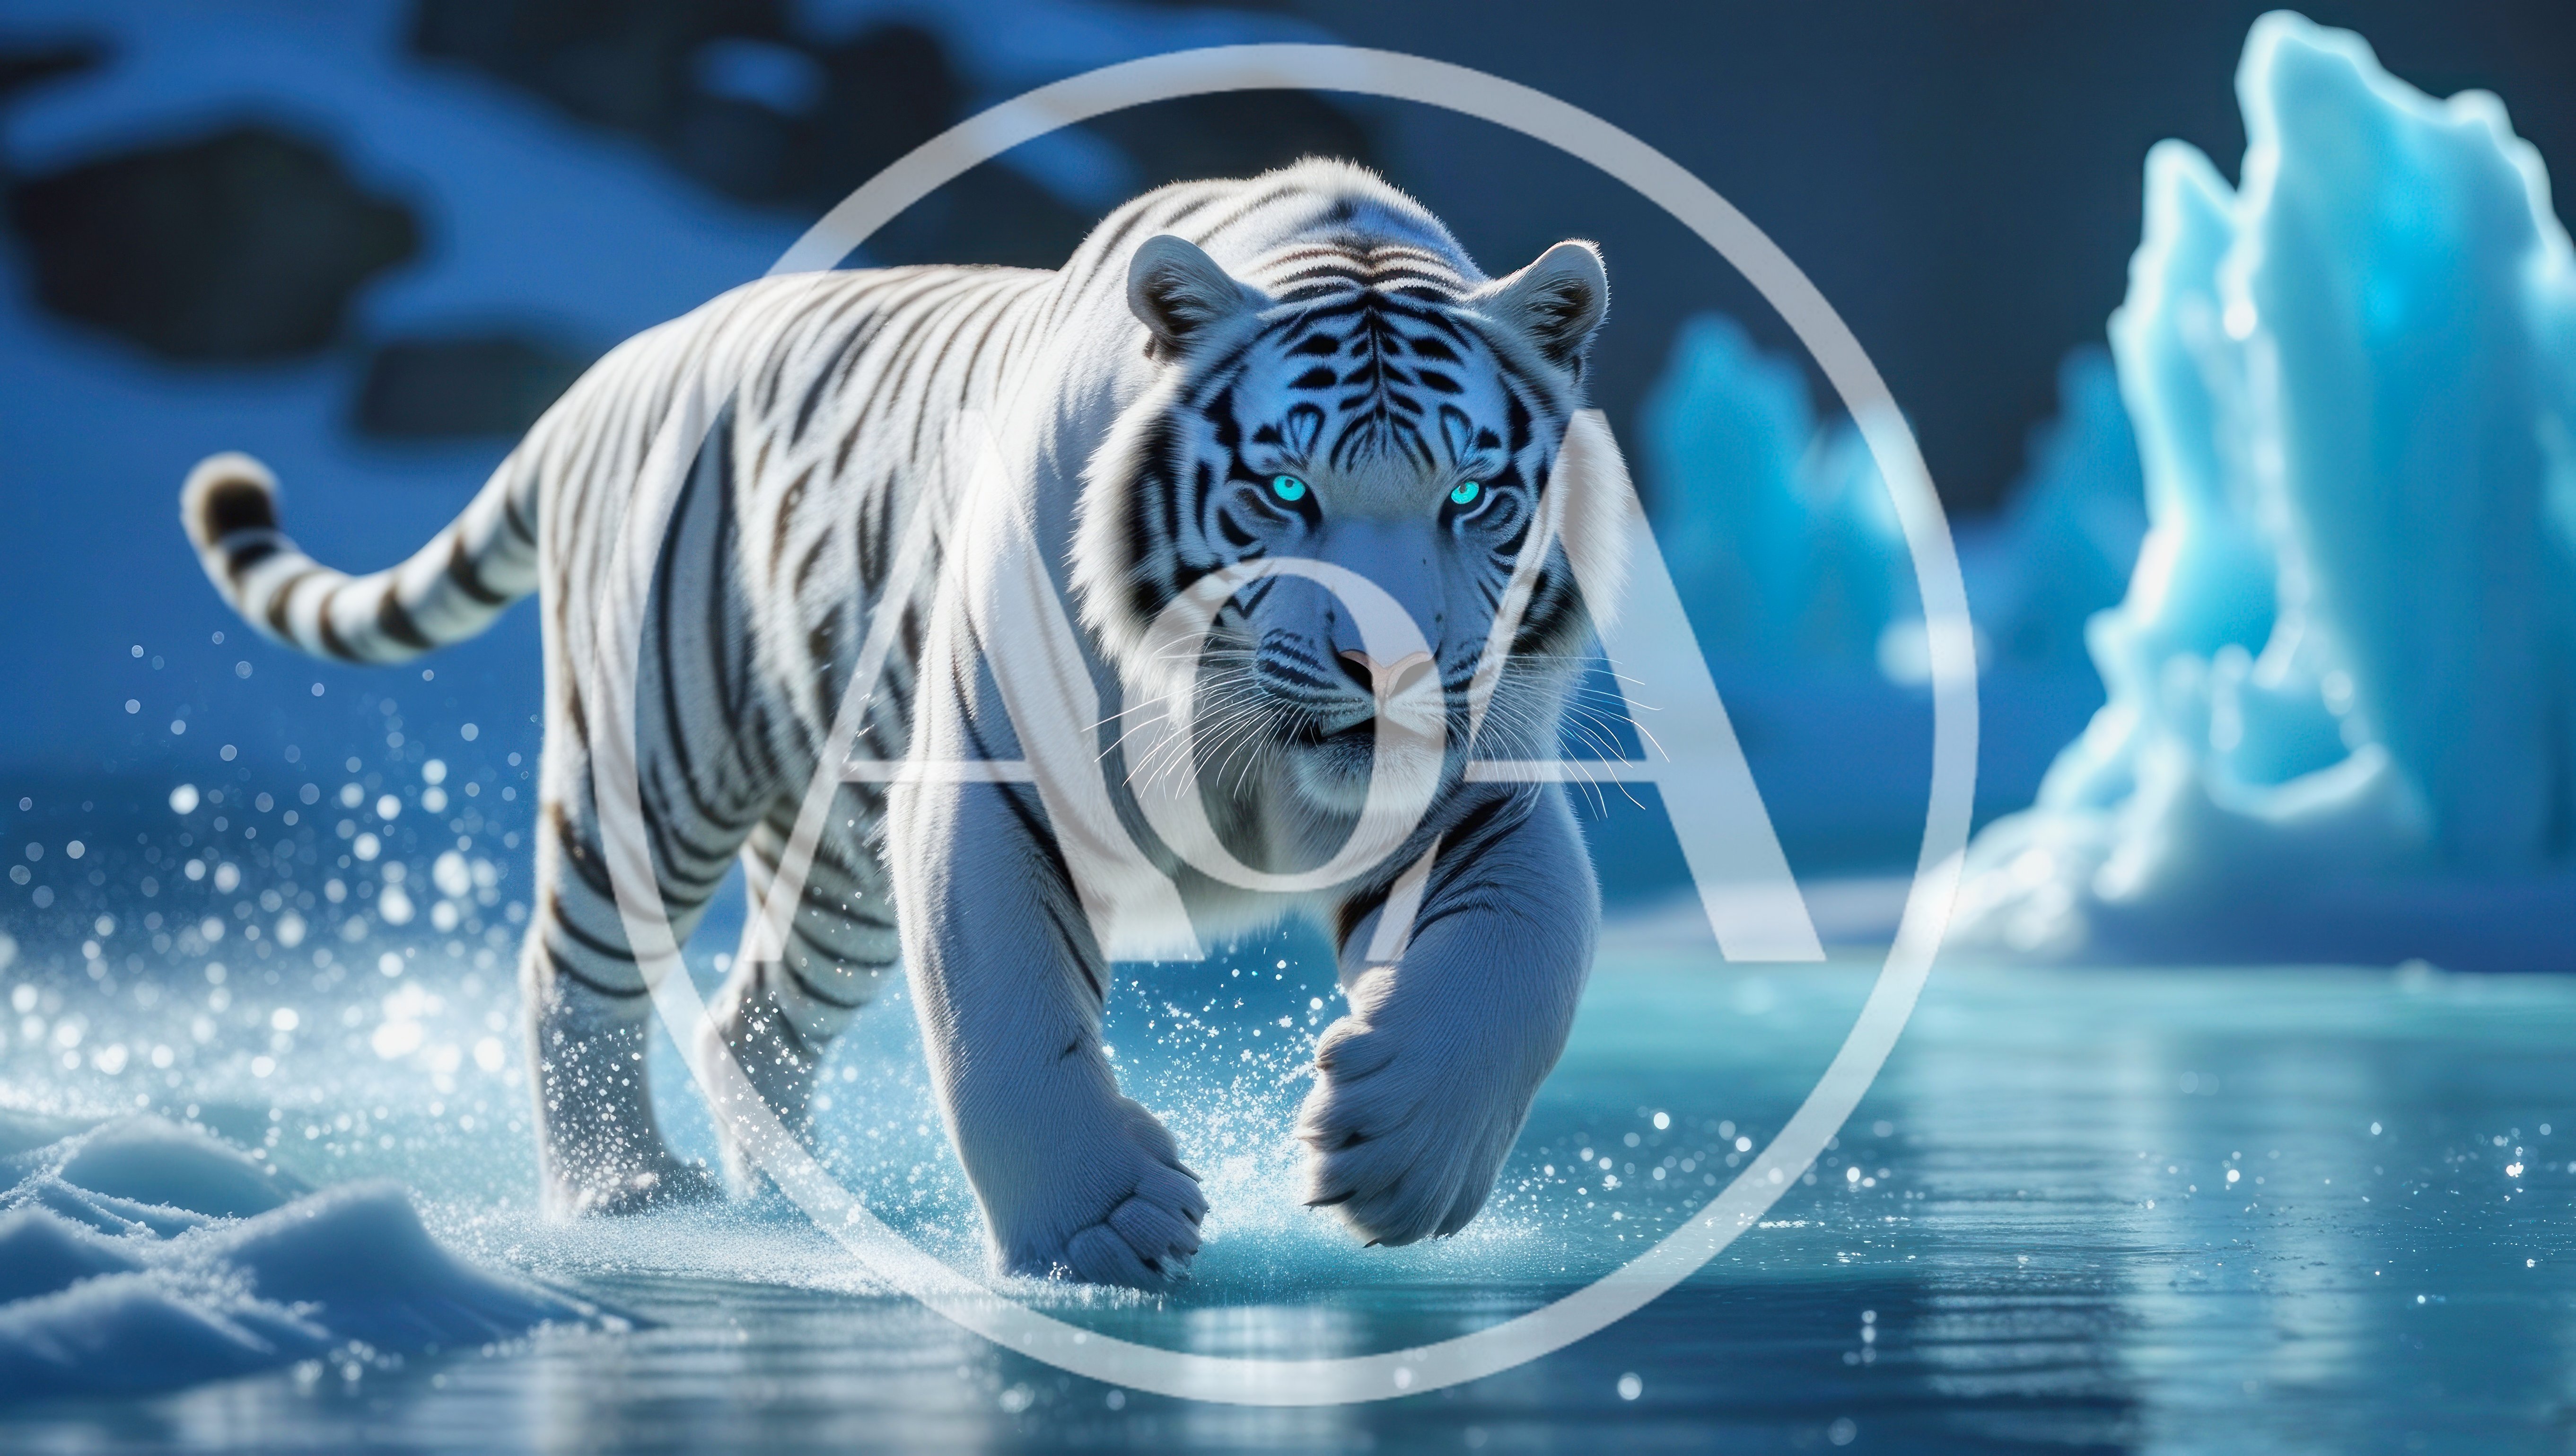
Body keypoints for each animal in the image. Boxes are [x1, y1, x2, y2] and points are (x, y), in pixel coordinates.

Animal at [180, 159, 1626, 1288]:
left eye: (1474, 495)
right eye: (1282, 489)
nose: (1390, 664)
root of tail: (616, 368)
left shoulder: (1487, 785)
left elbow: (1521, 956)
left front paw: (1402, 1151)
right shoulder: (993, 777)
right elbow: (1006, 1016)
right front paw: (1097, 1224)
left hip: (831, 864)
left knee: (753, 1019)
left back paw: (805, 1210)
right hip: (650, 770)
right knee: (572, 974)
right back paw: (627, 1190)